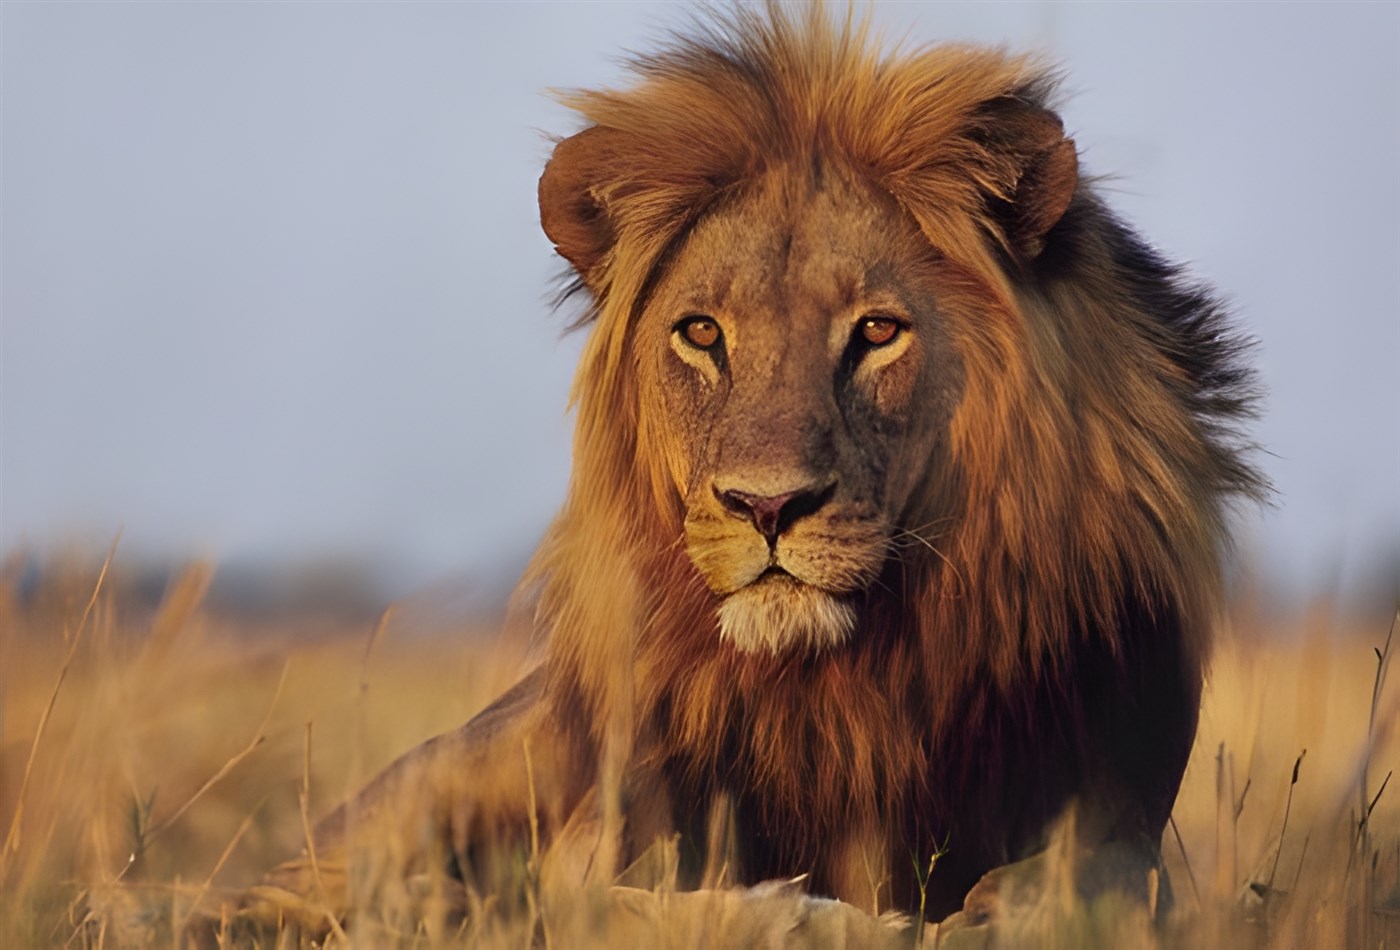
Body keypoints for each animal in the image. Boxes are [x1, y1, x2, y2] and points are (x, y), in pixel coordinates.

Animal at [254, 4, 1264, 935]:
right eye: (702, 333)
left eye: (877, 331)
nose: (767, 507)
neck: (840, 684)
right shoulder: (609, 831)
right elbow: (620, 902)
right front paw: (807, 916)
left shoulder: (1121, 816)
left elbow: (1059, 892)